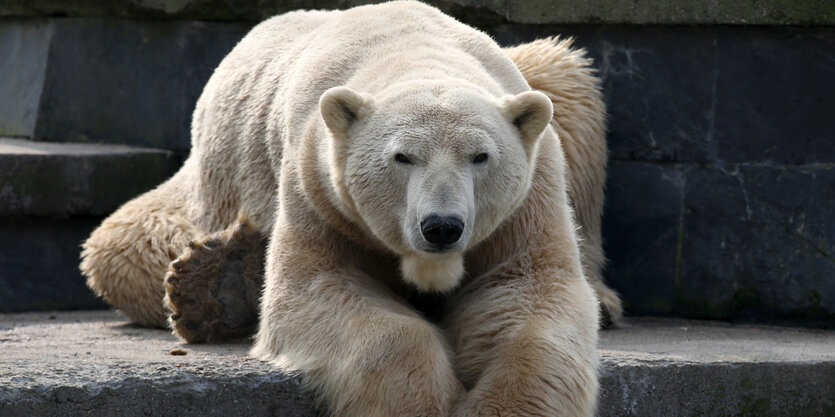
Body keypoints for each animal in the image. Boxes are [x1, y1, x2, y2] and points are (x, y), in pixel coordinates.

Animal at [81, 1, 624, 414]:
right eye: (402, 157)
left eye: (480, 156)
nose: (442, 227)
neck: (410, 50)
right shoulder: (317, 187)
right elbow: (320, 289)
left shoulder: (527, 195)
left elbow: (525, 294)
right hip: (213, 181)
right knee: (119, 247)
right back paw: (215, 281)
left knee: (566, 81)